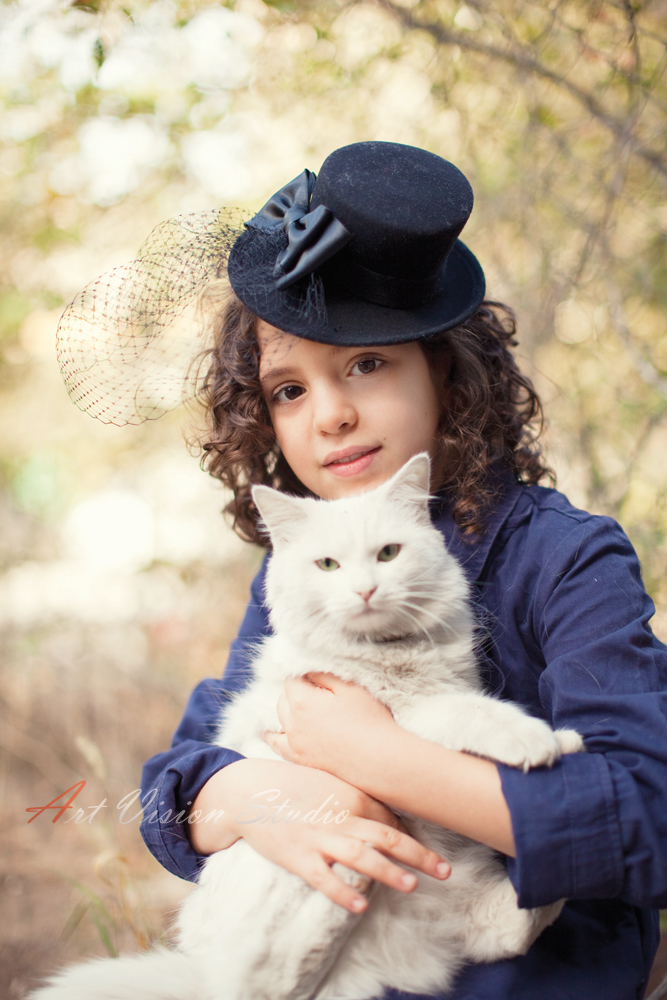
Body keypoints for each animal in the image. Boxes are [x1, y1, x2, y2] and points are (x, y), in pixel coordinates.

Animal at [31, 458, 584, 1000]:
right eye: (328, 566)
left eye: (388, 554)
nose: (365, 590)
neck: (388, 655)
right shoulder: (402, 714)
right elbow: (472, 713)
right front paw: (537, 739)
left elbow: (478, 708)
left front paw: (563, 739)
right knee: (268, 980)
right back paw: (358, 862)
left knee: (522, 917)